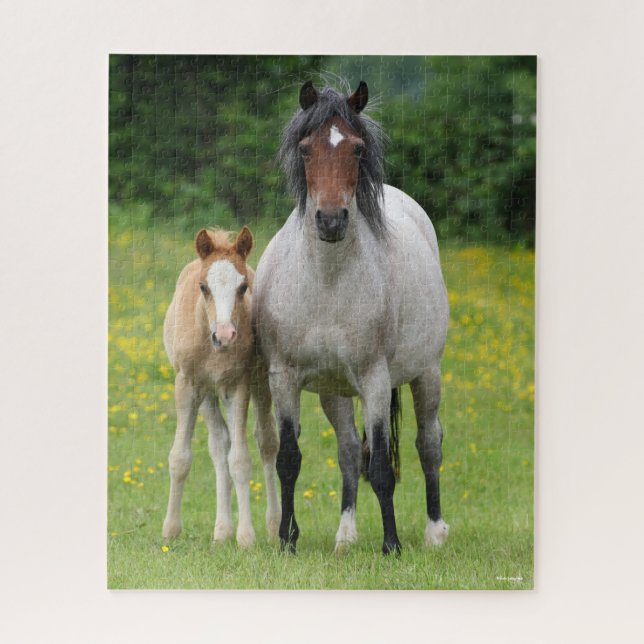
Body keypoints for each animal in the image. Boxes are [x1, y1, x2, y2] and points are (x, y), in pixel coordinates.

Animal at [162, 226, 280, 547]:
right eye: (203, 287)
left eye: (243, 287)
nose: (225, 335)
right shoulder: (187, 385)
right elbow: (180, 457)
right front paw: (171, 529)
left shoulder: (238, 386)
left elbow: (240, 460)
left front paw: (246, 537)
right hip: (207, 396)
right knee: (219, 444)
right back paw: (222, 530)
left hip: (260, 382)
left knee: (267, 442)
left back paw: (274, 525)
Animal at [252, 80, 450, 555]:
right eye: (306, 149)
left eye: (357, 150)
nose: (330, 219)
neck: (326, 281)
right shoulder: (284, 377)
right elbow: (290, 459)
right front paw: (286, 541)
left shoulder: (375, 379)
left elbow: (380, 467)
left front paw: (392, 546)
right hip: (335, 391)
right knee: (346, 451)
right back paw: (345, 535)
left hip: (426, 374)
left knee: (428, 444)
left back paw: (435, 531)